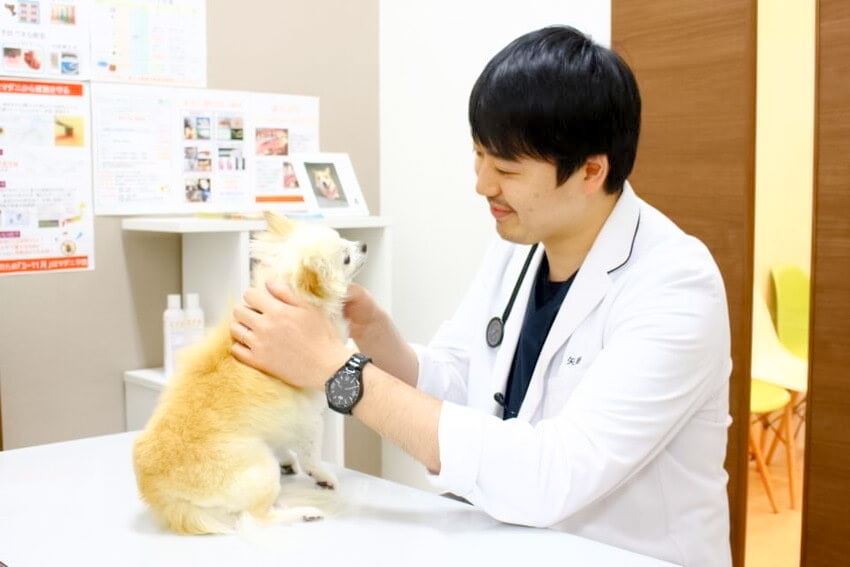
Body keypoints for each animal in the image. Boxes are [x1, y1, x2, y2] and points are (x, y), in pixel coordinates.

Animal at [132, 211, 367, 535]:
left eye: (347, 239)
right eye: (346, 257)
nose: (364, 245)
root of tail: (162, 496)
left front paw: (289, 460)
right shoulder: (309, 418)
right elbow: (311, 456)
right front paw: (320, 475)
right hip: (261, 468)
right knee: (257, 518)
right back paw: (305, 513)